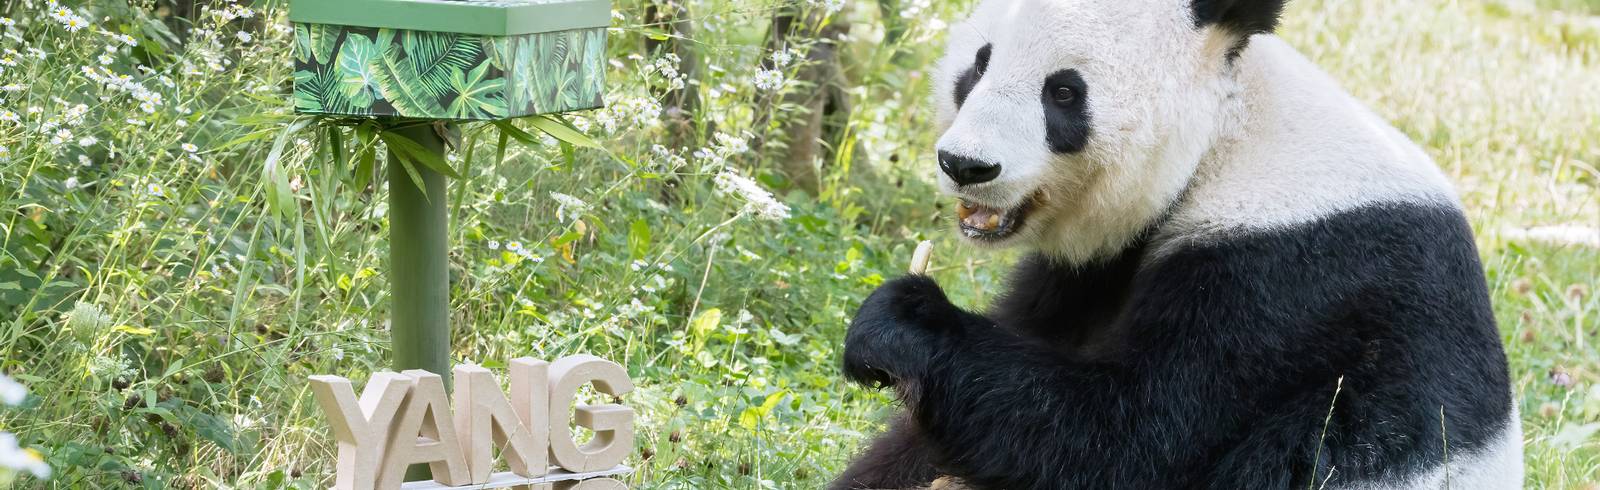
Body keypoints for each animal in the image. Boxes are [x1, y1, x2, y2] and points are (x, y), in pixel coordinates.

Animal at [832, 0, 1522, 489]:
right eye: (979, 63)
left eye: (1064, 92)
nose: (966, 165)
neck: (1226, 128)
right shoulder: (1097, 268)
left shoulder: (1292, 268)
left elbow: (1129, 434)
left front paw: (901, 324)